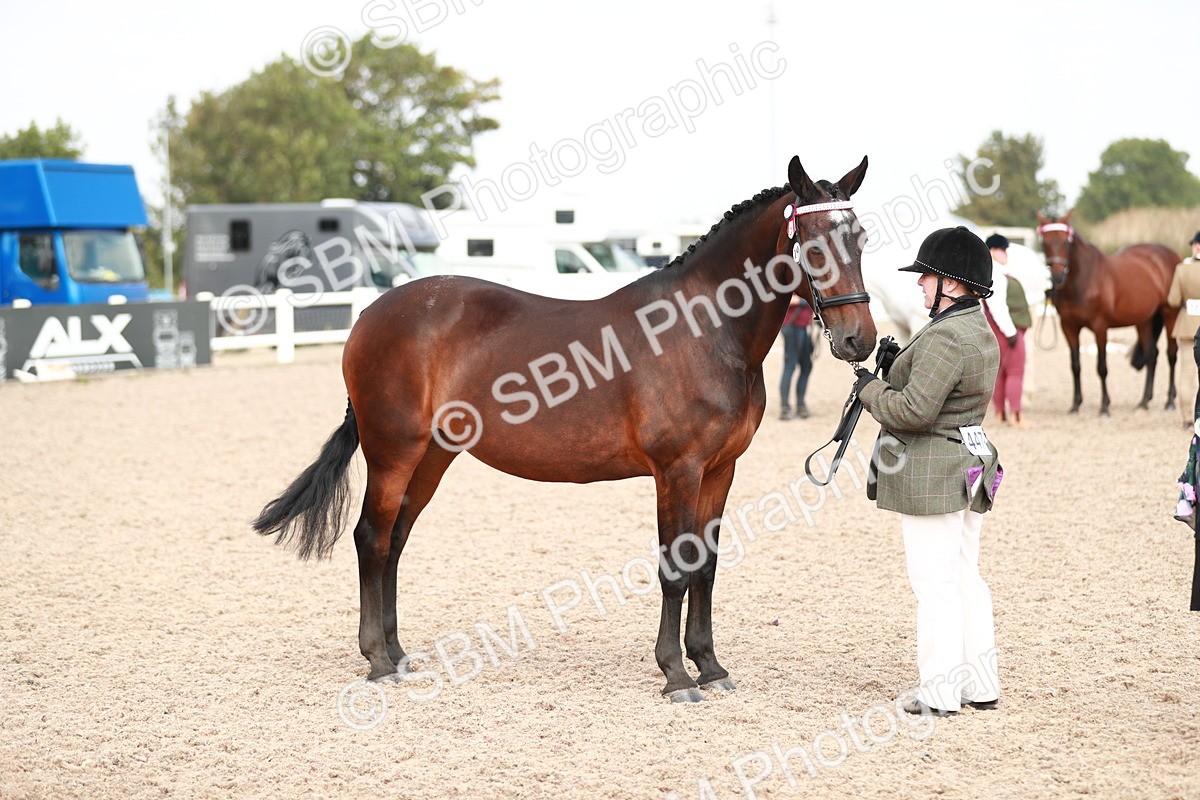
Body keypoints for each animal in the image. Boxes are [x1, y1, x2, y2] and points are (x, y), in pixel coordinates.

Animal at [253, 155, 878, 702]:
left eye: (861, 238)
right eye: (811, 241)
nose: (859, 340)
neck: (704, 330)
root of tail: (370, 312)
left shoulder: (721, 470)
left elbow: (706, 566)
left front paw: (711, 666)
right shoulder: (677, 471)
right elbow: (675, 568)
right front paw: (676, 675)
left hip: (432, 457)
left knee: (396, 542)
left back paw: (399, 653)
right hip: (393, 452)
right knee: (372, 539)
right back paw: (378, 661)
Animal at [1036, 211, 1180, 416]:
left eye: (1066, 242)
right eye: (1045, 243)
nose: (1057, 277)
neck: (1084, 279)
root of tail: (1170, 255)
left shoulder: (1100, 326)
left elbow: (1102, 367)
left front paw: (1104, 407)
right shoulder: (1068, 327)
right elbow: (1075, 366)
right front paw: (1075, 405)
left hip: (1170, 314)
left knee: (1171, 354)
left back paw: (1170, 401)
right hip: (1144, 320)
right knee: (1151, 354)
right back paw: (1144, 402)